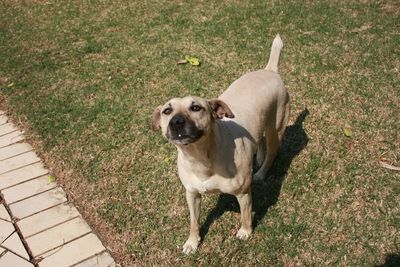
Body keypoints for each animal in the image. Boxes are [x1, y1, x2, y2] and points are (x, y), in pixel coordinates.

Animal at [152, 35, 290, 255]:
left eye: (196, 107)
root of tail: (270, 70)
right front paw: (192, 242)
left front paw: (245, 232)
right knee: (259, 140)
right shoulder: (192, 194)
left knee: (272, 152)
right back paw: (258, 158)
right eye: (167, 111)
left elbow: (245, 215)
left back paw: (261, 172)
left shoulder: (243, 193)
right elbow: (193, 222)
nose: (176, 122)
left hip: (275, 127)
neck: (201, 157)